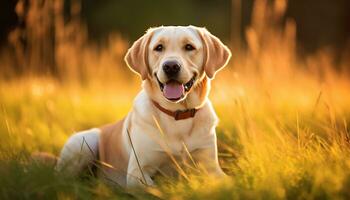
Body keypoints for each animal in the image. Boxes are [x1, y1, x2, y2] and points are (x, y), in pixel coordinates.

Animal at [56, 25, 232, 188]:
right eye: (159, 47)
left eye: (189, 47)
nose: (171, 66)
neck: (176, 114)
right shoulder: (138, 172)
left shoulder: (212, 168)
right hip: (83, 142)